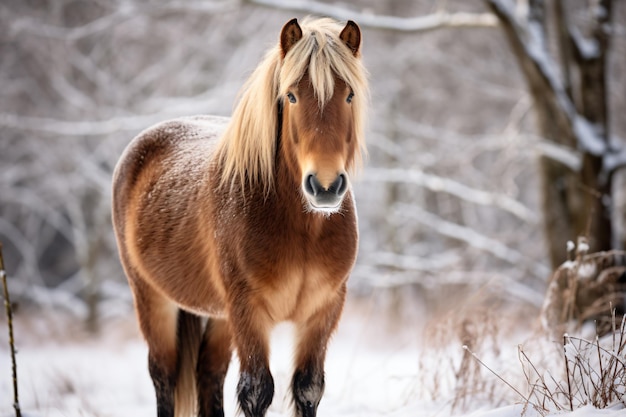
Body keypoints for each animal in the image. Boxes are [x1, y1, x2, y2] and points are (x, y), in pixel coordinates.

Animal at [111, 16, 366, 416]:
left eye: (349, 94)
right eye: (291, 96)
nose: (325, 187)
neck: (301, 229)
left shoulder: (323, 311)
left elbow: (308, 387)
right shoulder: (249, 311)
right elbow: (257, 390)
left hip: (219, 319)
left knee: (208, 375)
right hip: (153, 300)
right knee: (164, 376)